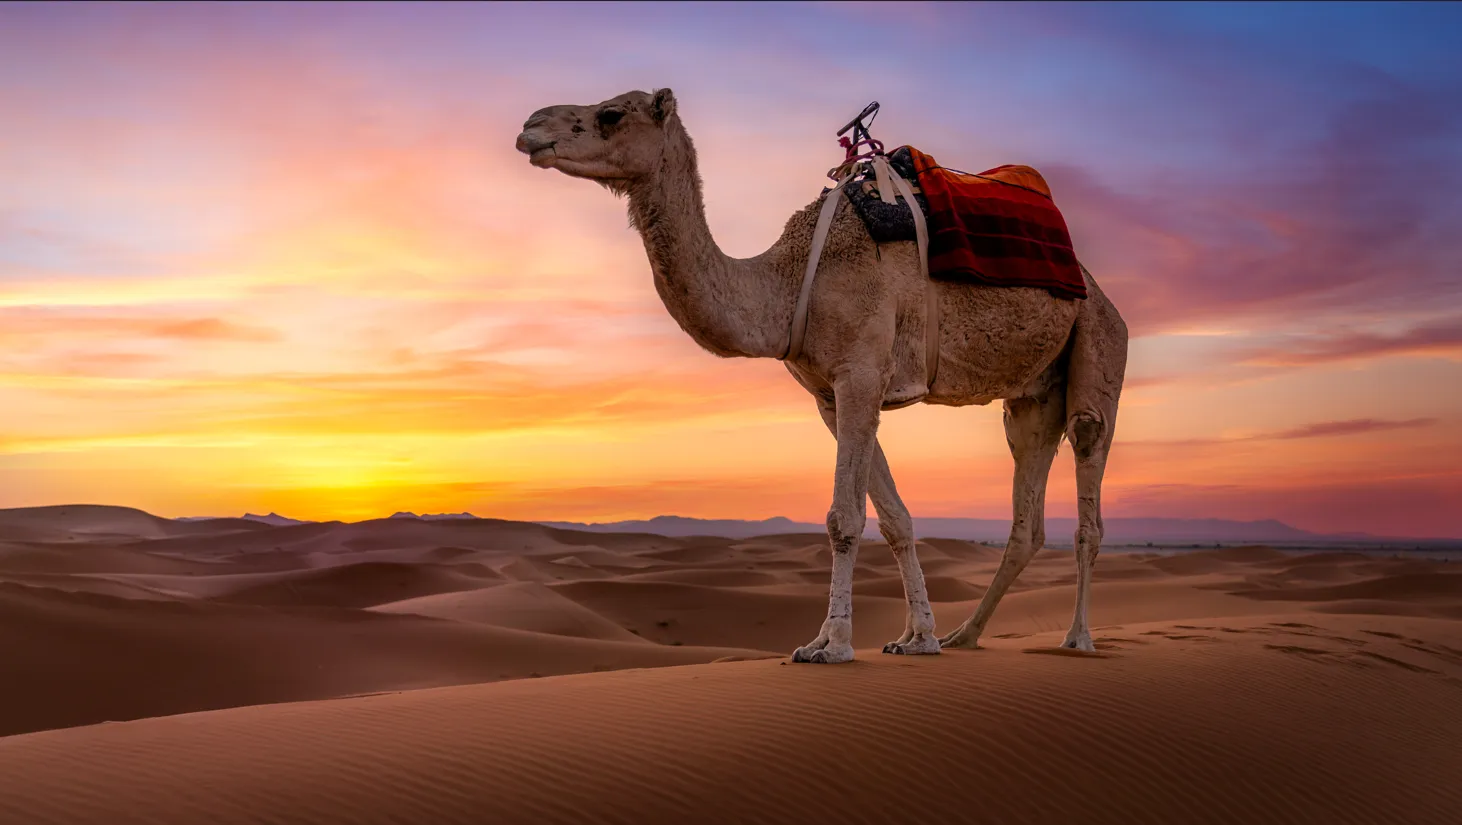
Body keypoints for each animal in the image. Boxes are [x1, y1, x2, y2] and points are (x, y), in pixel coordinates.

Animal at [516, 89, 1128, 662]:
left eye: (611, 114)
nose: (530, 127)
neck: (786, 284)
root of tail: (1098, 288)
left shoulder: (861, 372)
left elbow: (844, 517)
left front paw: (830, 644)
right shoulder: (832, 395)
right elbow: (894, 517)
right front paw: (918, 637)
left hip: (1099, 342)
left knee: (1088, 477)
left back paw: (1078, 638)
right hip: (1032, 399)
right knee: (1026, 515)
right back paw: (965, 635)